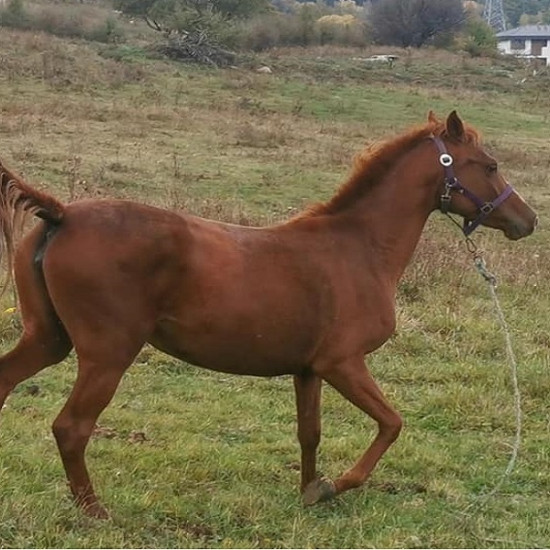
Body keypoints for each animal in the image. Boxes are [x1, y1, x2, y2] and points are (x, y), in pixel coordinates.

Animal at [0, 111, 540, 516]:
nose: (528, 221)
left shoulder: (309, 370)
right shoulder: (343, 364)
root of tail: (62, 214)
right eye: (489, 164)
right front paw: (333, 486)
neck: (360, 248)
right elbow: (391, 424)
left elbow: (310, 434)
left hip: (48, 338)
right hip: (107, 353)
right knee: (72, 428)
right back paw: (94, 511)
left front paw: (309, 490)